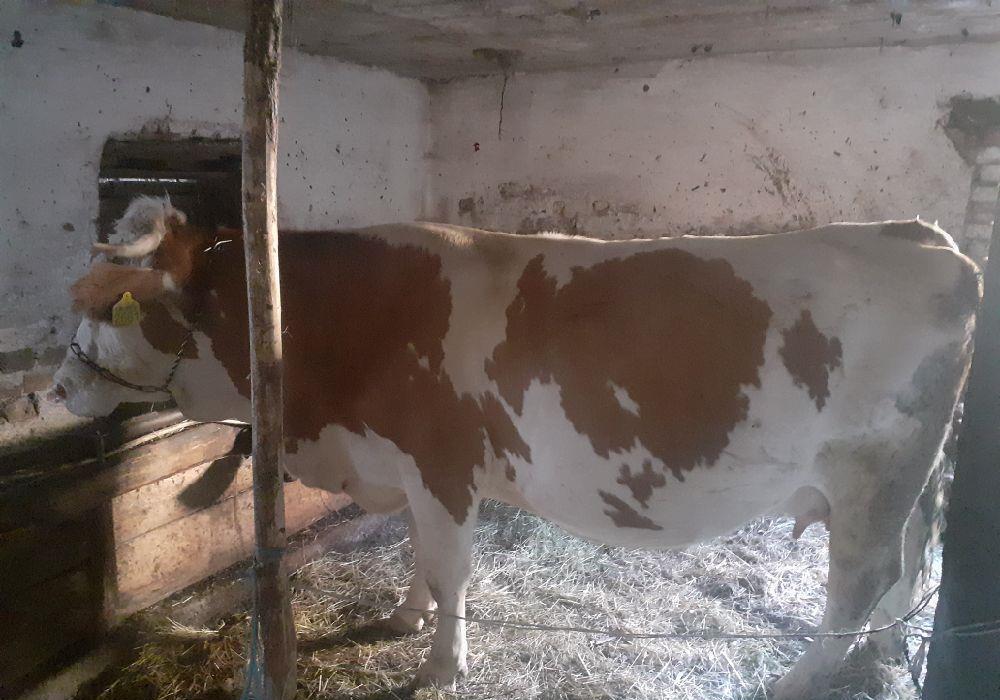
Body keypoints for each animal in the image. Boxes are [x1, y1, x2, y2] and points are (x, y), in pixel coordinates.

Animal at [53, 196, 980, 699]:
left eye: (107, 306)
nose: (55, 390)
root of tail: (924, 235)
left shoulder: (442, 463)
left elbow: (451, 569)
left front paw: (440, 664)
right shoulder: (406, 469)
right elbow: (418, 556)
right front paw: (404, 617)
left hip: (871, 475)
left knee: (860, 580)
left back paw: (801, 679)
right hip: (904, 479)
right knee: (907, 565)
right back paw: (887, 656)